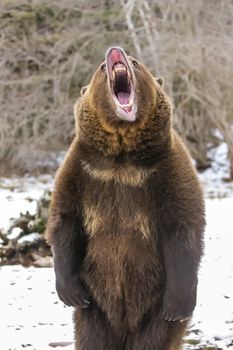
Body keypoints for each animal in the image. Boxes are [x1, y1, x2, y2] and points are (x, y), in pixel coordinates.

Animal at [46, 47, 206, 350]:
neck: (121, 156)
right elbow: (65, 219)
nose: (115, 51)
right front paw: (69, 291)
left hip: (152, 304)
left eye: (135, 62)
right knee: (92, 337)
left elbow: (183, 224)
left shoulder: (166, 170)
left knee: (154, 338)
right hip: (96, 308)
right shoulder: (82, 170)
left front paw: (179, 304)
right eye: (100, 67)